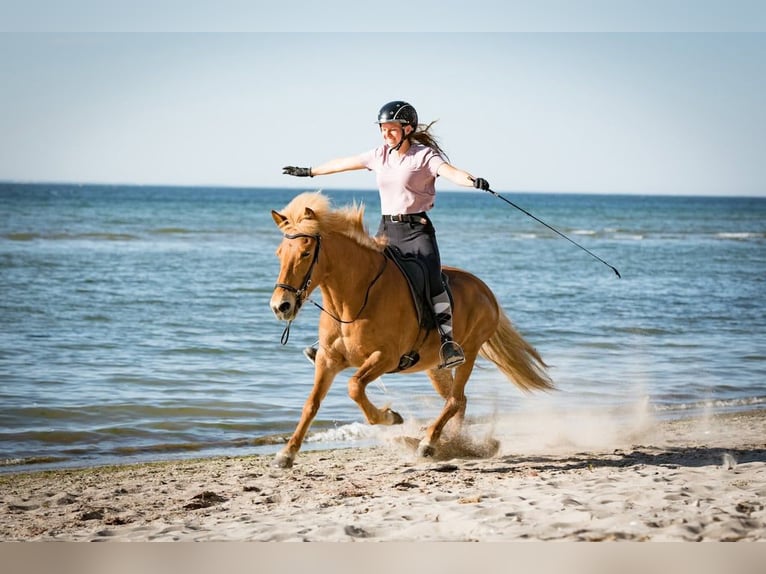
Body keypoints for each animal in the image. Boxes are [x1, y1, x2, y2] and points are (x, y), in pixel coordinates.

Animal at [270, 191, 552, 470]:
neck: (355, 298)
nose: (281, 306)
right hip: (434, 366)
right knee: (458, 402)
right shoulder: (327, 360)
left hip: (468, 354)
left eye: (306, 253)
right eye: (279, 253)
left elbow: (354, 386)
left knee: (455, 400)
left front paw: (390, 417)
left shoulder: (385, 358)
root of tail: (486, 291)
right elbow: (311, 404)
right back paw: (452, 445)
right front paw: (286, 454)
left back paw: (428, 444)